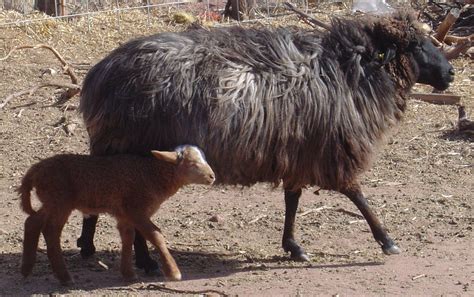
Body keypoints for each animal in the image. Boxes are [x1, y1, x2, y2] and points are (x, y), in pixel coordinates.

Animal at [17, 144, 216, 284]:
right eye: (192, 163)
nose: (212, 176)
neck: (153, 175)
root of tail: (34, 171)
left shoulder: (125, 214)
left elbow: (128, 238)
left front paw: (128, 274)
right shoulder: (136, 210)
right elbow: (155, 235)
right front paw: (173, 272)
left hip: (51, 201)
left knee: (32, 222)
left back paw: (26, 270)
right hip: (59, 201)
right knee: (51, 231)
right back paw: (64, 277)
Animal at [78, 10, 456, 272]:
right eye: (416, 45)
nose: (450, 73)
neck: (353, 71)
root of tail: (98, 75)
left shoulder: (299, 150)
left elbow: (292, 199)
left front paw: (293, 245)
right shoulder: (331, 150)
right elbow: (356, 194)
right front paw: (387, 240)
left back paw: (103, 248)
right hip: (133, 149)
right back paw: (140, 260)